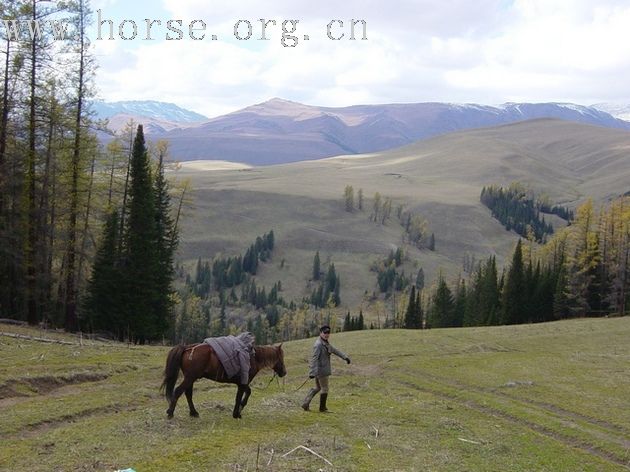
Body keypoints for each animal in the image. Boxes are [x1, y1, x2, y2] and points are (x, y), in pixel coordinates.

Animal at [159, 342, 288, 418]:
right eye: (281, 357)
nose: (284, 372)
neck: (252, 358)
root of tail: (187, 348)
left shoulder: (242, 383)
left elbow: (244, 394)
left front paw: (238, 410)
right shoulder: (243, 383)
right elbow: (241, 396)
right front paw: (237, 413)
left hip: (190, 378)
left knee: (188, 394)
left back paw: (193, 412)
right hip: (190, 378)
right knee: (178, 391)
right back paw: (170, 412)